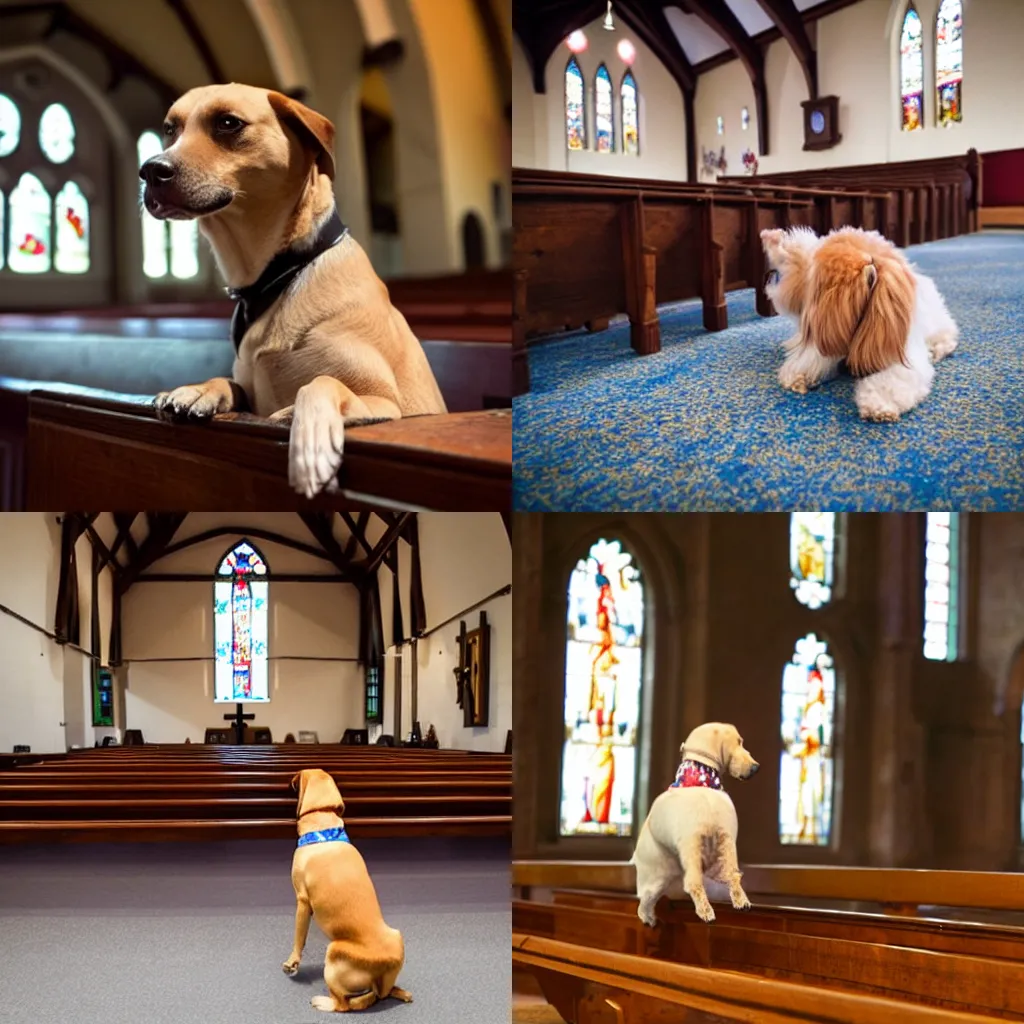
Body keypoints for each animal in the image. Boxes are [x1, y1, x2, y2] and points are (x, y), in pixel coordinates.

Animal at [139, 82, 444, 495]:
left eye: (228, 123)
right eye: (170, 130)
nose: (150, 170)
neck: (279, 275)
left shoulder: (385, 403)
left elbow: (318, 384)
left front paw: (309, 443)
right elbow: (232, 382)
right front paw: (200, 389)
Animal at [282, 770, 409, 1007]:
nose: (287, 781)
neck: (323, 823)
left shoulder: (302, 901)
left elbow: (298, 938)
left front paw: (292, 962)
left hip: (334, 952)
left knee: (343, 1004)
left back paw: (322, 1002)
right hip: (396, 938)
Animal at [630, 720, 761, 929]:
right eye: (739, 741)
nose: (756, 767)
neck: (702, 779)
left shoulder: (726, 838)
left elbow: (732, 873)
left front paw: (741, 900)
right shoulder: (691, 843)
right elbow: (695, 883)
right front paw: (705, 910)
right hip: (653, 877)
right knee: (645, 902)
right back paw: (650, 919)